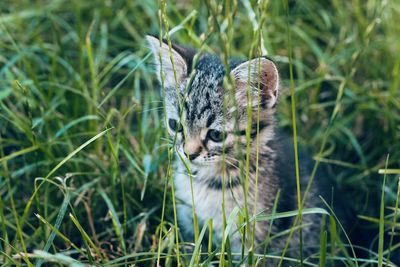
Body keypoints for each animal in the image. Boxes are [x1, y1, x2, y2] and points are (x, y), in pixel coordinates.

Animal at [147, 35, 334, 264]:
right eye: (175, 125)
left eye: (216, 135)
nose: (189, 154)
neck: (208, 182)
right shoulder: (190, 221)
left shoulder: (255, 242)